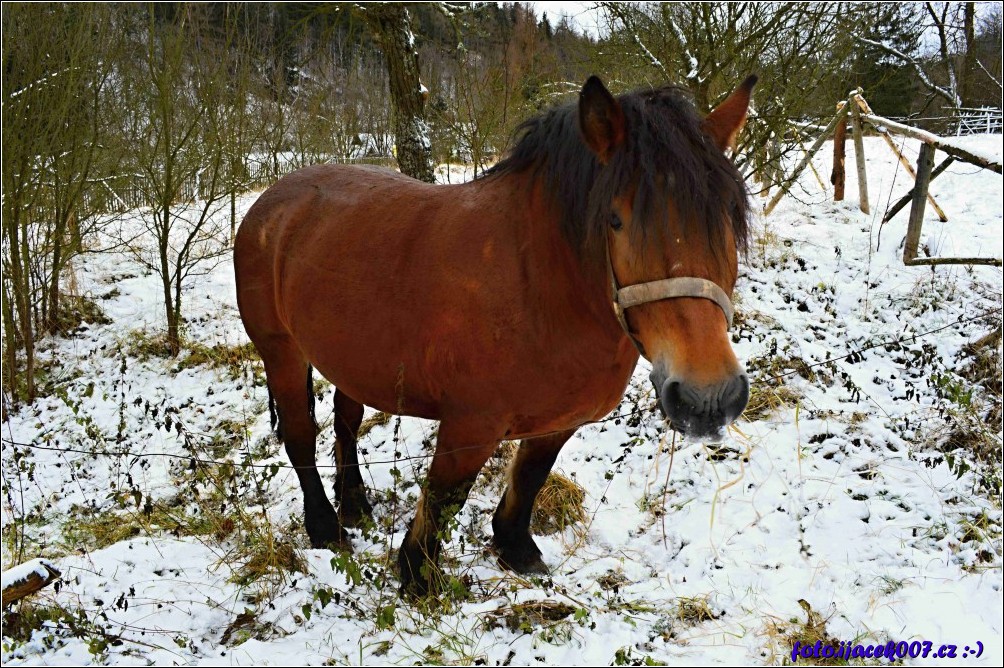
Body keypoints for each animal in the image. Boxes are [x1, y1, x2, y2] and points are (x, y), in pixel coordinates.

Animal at [232, 72, 755, 594]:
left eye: (729, 217)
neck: (538, 288)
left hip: (352, 355)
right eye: (615, 220)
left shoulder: (558, 421)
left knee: (346, 419)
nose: (707, 398)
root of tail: (275, 198)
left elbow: (529, 477)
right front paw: (418, 575)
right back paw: (324, 526)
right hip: (281, 351)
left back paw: (356, 504)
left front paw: (514, 548)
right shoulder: (470, 426)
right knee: (300, 434)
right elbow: (445, 498)